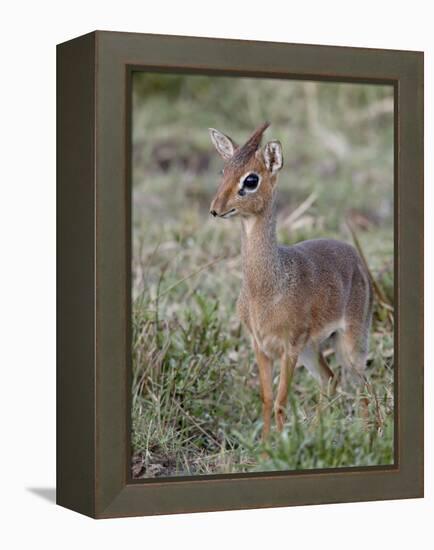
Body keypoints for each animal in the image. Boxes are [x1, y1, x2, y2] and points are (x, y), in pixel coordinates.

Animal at [209, 123, 372, 442]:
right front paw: (265, 445)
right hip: (313, 349)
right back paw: (315, 433)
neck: (265, 289)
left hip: (351, 342)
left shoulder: (289, 347)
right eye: (224, 170)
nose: (215, 208)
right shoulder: (260, 346)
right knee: (330, 379)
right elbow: (267, 398)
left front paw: (282, 444)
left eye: (251, 179)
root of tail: (354, 255)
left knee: (364, 385)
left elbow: (282, 401)